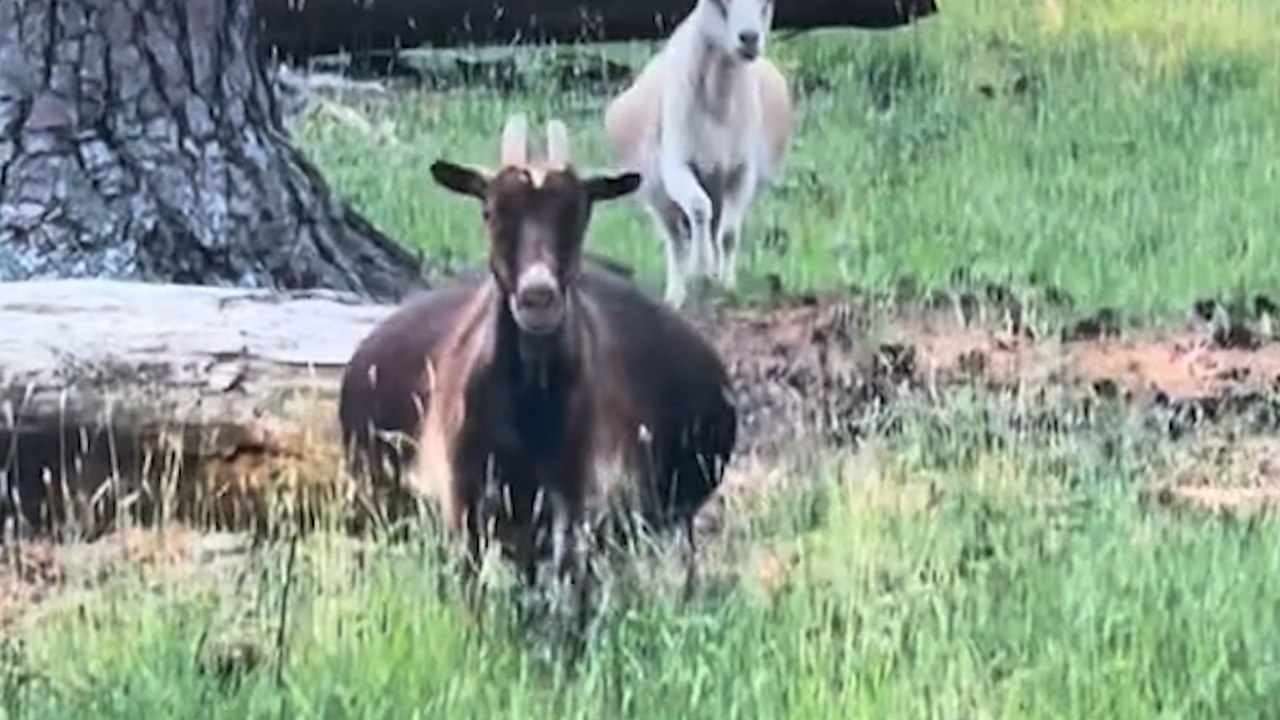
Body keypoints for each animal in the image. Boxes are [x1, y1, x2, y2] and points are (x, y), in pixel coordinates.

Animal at [604, 0, 794, 308]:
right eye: (719, 3)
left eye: (767, 3)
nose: (749, 38)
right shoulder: (676, 165)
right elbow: (698, 208)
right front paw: (700, 267)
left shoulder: (742, 172)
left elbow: (728, 234)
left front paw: (726, 284)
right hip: (656, 193)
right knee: (677, 240)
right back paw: (677, 293)